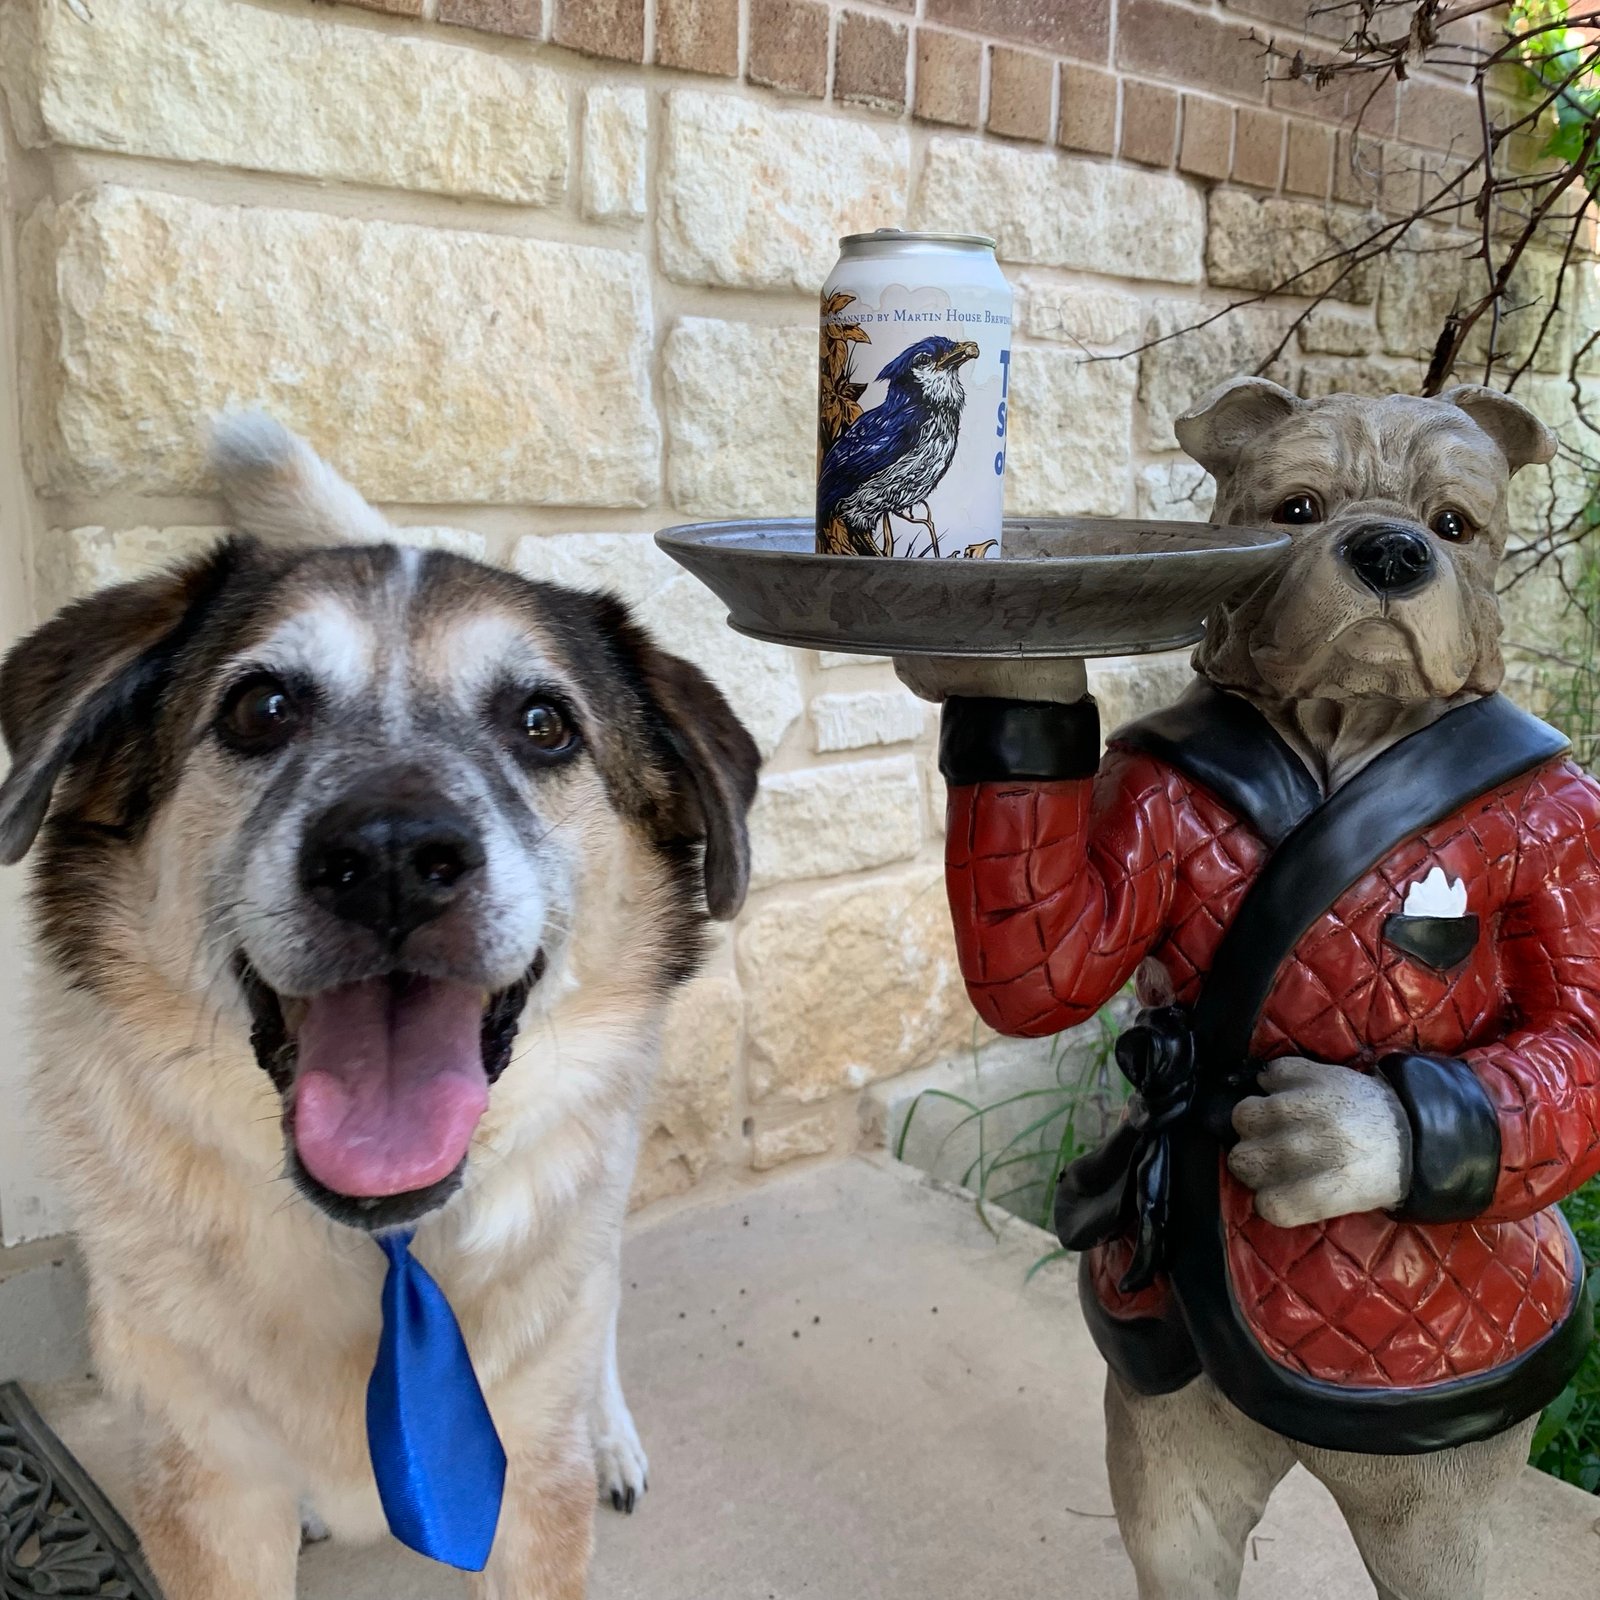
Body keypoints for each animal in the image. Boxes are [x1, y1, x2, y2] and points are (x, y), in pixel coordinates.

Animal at [0, 416, 758, 1600]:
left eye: (544, 723)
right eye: (261, 706)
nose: (395, 857)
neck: (388, 1240)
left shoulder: (529, 1488)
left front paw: (598, 1431)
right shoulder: (206, 1489)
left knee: (601, 1297)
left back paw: (609, 1431)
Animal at [902, 380, 1600, 1593]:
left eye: (1455, 523)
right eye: (1297, 507)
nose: (1388, 550)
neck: (1344, 734)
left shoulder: (1571, 831)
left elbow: (1580, 1041)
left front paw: (1341, 1135)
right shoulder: (1143, 792)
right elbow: (1053, 967)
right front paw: (1002, 655)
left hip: (1439, 1481)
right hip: (1173, 1421)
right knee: (1179, 1528)